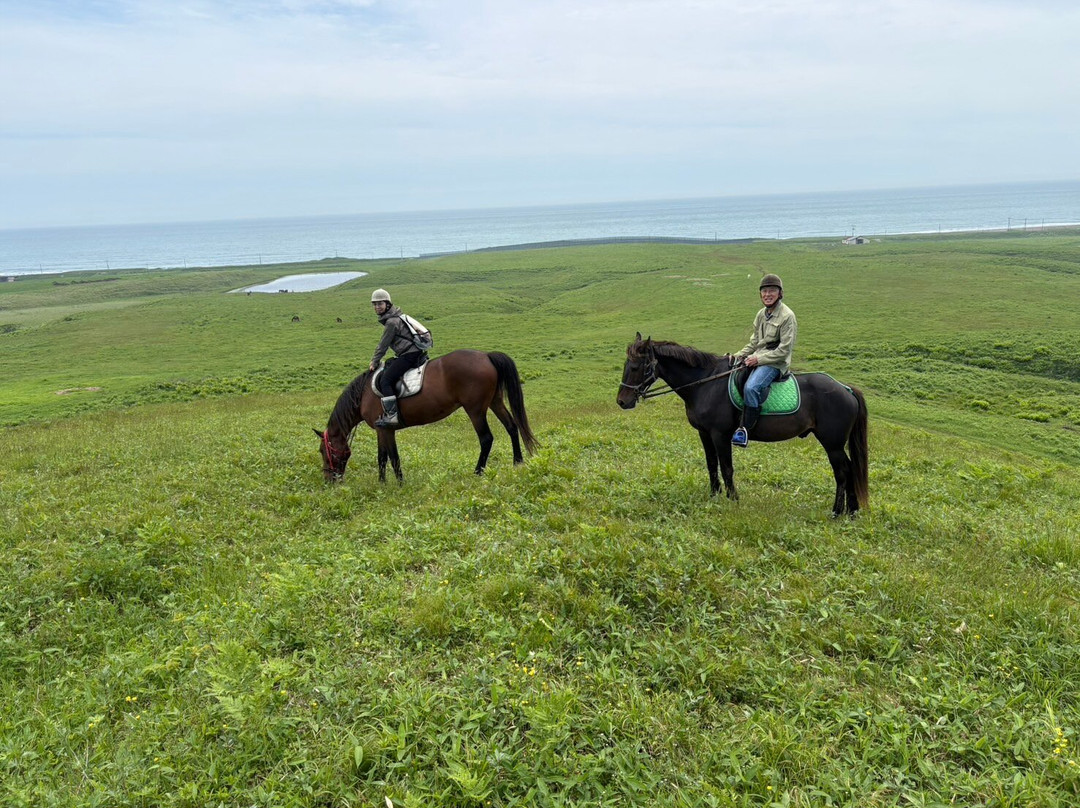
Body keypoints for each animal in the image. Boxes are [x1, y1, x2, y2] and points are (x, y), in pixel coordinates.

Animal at [316, 350, 537, 482]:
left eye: (322, 451)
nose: (329, 479)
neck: (363, 394)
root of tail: (486, 356)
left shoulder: (384, 428)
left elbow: (389, 457)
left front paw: (397, 484)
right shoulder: (384, 430)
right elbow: (385, 456)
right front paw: (384, 482)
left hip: (475, 409)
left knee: (486, 438)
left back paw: (478, 471)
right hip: (495, 401)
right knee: (512, 427)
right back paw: (517, 462)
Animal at [617, 333, 868, 517]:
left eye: (637, 367)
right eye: (626, 364)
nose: (622, 401)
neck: (705, 383)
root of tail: (845, 389)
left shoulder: (720, 435)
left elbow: (727, 468)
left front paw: (733, 499)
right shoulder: (704, 434)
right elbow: (711, 464)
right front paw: (714, 496)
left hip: (832, 444)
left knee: (842, 472)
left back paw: (837, 512)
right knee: (850, 469)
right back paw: (852, 511)